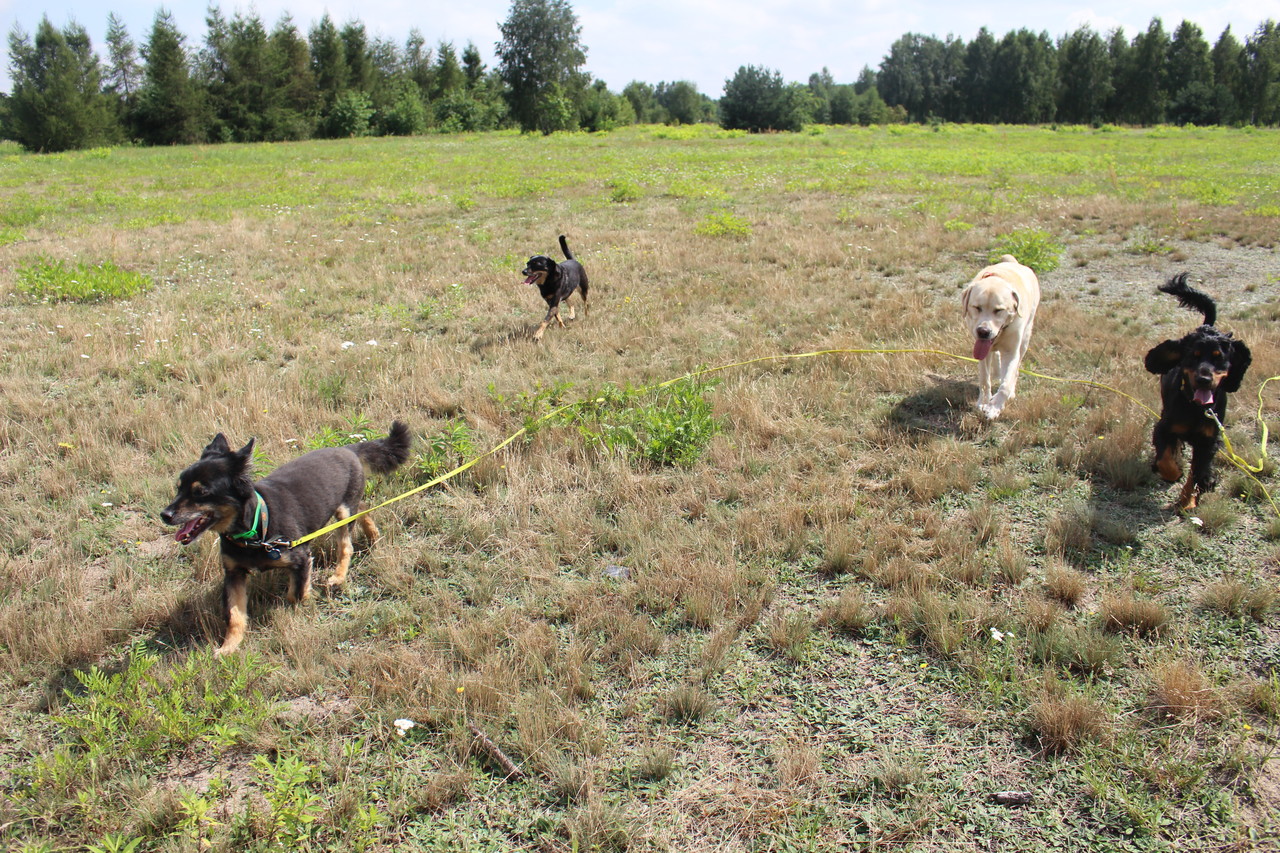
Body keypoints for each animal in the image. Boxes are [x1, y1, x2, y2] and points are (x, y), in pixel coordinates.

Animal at [161, 421, 412, 654]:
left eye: (201, 492)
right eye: (179, 488)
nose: (165, 514)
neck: (256, 529)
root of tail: (347, 448)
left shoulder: (300, 558)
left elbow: (295, 594)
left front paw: (305, 602)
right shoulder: (234, 573)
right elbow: (234, 615)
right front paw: (229, 648)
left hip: (343, 512)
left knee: (346, 546)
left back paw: (338, 576)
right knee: (363, 507)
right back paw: (373, 535)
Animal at [961, 254, 1041, 419]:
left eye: (999, 310)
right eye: (976, 307)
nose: (983, 331)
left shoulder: (1011, 352)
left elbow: (1006, 384)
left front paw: (994, 407)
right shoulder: (982, 351)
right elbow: (985, 380)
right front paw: (984, 402)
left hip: (1025, 339)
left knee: (1016, 370)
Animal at [1144, 273, 1251, 510]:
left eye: (1219, 357)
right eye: (1193, 355)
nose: (1204, 379)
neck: (1194, 408)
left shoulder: (1209, 441)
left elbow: (1197, 472)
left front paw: (1188, 500)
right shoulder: (1164, 427)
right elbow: (1165, 458)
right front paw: (1173, 472)